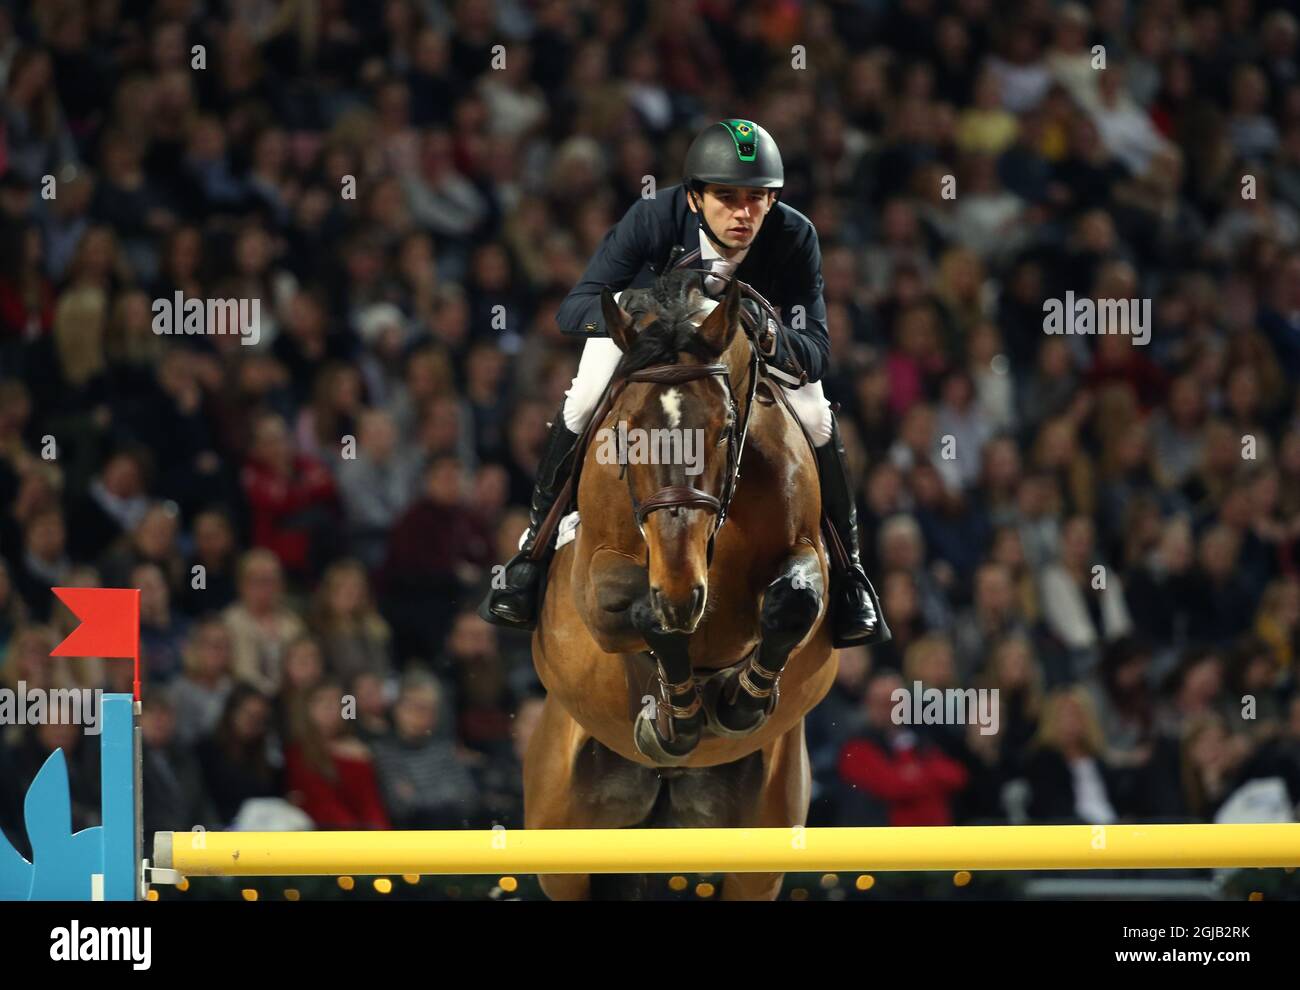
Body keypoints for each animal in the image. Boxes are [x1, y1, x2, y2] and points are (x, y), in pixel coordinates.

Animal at [522, 267, 837, 893]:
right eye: (626, 433)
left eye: (723, 430)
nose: (683, 590)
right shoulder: (594, 584)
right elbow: (643, 611)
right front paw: (677, 717)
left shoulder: (807, 554)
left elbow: (793, 602)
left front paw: (740, 701)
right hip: (561, 843)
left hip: (758, 858)